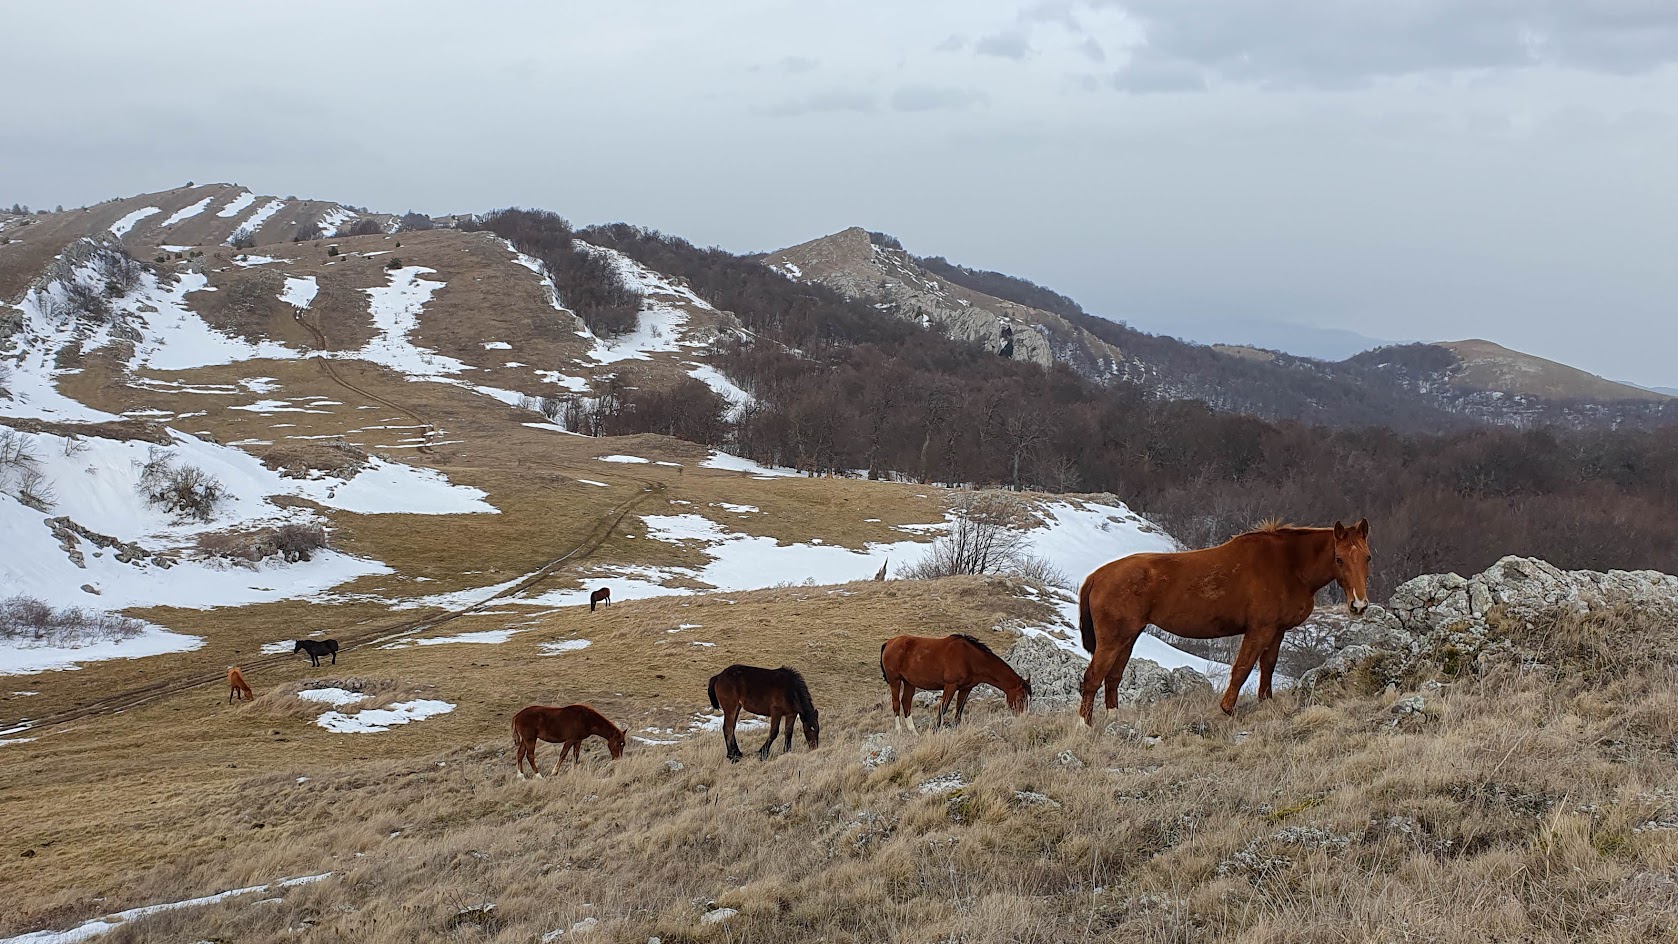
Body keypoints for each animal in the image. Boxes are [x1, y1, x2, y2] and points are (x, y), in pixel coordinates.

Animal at [879, 630, 1033, 734]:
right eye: (1021, 697)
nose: (1024, 718)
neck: (970, 659)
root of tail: (889, 642)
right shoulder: (950, 685)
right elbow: (943, 709)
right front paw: (935, 730)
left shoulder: (966, 689)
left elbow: (959, 711)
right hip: (895, 680)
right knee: (896, 704)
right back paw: (899, 731)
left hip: (909, 682)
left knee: (906, 703)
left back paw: (914, 733)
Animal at [1080, 519, 1369, 720]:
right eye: (1339, 559)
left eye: (1367, 557)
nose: (1359, 604)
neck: (1288, 565)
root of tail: (1096, 576)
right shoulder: (1260, 629)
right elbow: (1242, 668)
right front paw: (1228, 709)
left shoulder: (1277, 631)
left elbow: (1268, 666)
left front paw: (1266, 702)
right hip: (1112, 641)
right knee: (1093, 677)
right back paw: (1086, 725)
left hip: (1128, 637)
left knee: (1113, 676)